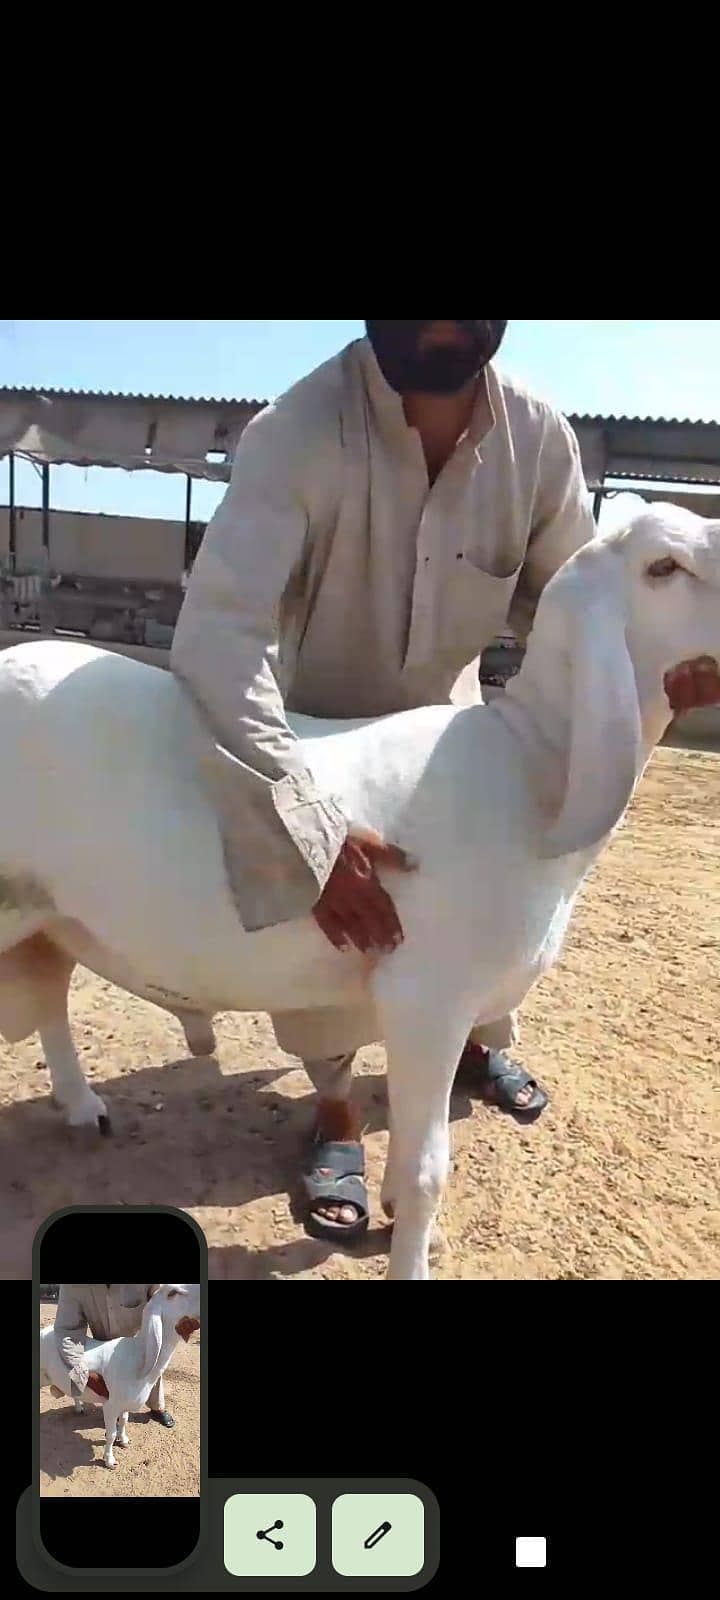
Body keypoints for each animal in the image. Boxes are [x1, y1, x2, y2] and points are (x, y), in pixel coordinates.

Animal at [2, 504, 719, 1279]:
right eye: (663, 567)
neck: (529, 767)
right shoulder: (427, 996)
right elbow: (429, 1166)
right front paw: (411, 1255)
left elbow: (409, 1146)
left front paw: (405, 1217)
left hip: (49, 913)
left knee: (50, 996)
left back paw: (83, 1106)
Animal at [39, 1283, 200, 1468]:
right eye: (172, 1293)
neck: (137, 1356)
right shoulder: (110, 1405)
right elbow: (110, 1434)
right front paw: (109, 1460)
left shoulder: (124, 1404)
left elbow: (123, 1421)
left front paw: (123, 1440)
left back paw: (79, 1408)